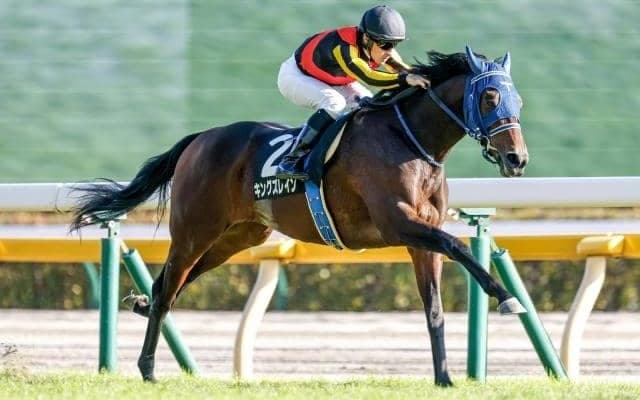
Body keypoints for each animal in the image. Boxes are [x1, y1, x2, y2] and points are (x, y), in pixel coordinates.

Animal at [70, 46, 529, 386]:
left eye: (517, 100)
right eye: (489, 97)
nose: (517, 159)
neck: (410, 139)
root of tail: (200, 138)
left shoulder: (421, 236)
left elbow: (434, 307)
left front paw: (445, 379)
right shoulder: (399, 223)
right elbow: (457, 245)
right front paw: (508, 298)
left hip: (238, 237)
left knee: (171, 282)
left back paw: (142, 305)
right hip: (194, 230)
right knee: (169, 287)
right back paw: (147, 368)